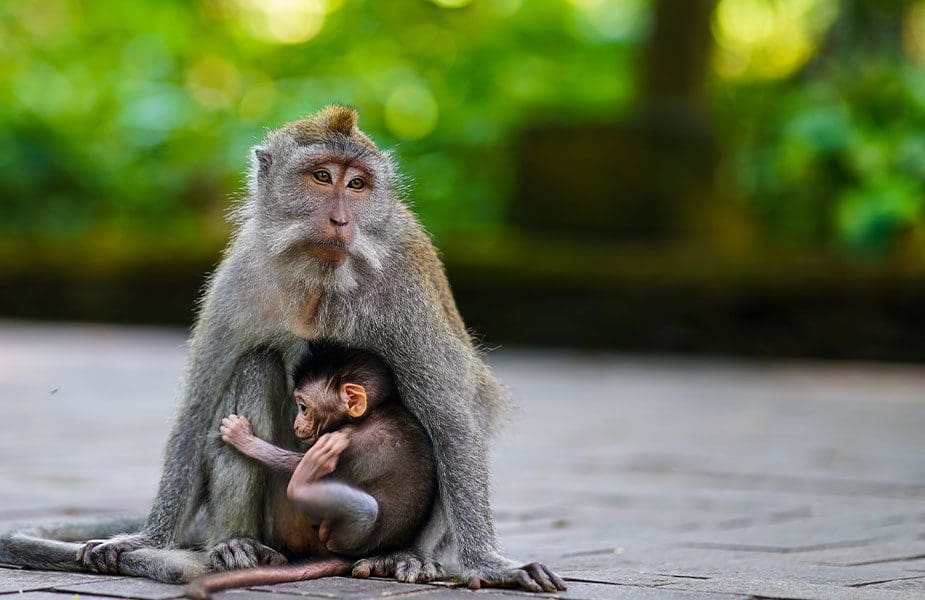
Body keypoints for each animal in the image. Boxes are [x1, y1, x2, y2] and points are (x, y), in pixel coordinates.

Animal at [188, 342, 436, 600]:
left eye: (304, 407)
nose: (297, 424)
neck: (373, 413)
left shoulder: (349, 442)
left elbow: (295, 464)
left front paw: (242, 438)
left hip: (335, 535)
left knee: (366, 509)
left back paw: (302, 483)